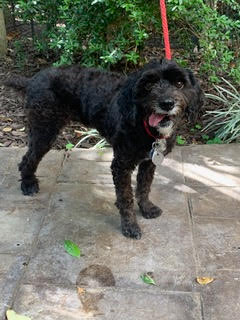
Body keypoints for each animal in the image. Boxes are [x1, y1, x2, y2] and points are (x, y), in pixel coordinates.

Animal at [5, 59, 203, 240]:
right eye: (148, 85)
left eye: (179, 83)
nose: (167, 103)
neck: (143, 125)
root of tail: (33, 79)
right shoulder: (121, 165)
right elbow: (125, 197)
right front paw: (130, 225)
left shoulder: (149, 162)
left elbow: (144, 186)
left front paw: (146, 207)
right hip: (45, 129)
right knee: (28, 159)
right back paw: (28, 183)